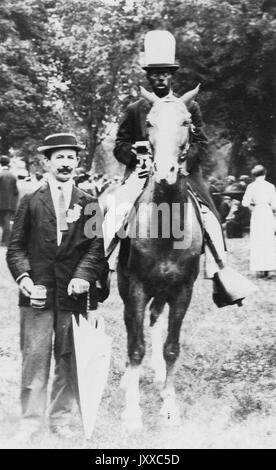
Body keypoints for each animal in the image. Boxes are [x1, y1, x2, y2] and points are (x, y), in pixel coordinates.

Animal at [116, 84, 203, 430]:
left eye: (186, 122)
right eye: (150, 122)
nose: (165, 173)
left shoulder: (182, 291)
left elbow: (171, 349)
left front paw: (169, 405)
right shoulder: (137, 287)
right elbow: (135, 346)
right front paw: (132, 412)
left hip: (163, 291)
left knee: (154, 320)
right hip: (128, 287)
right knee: (132, 327)